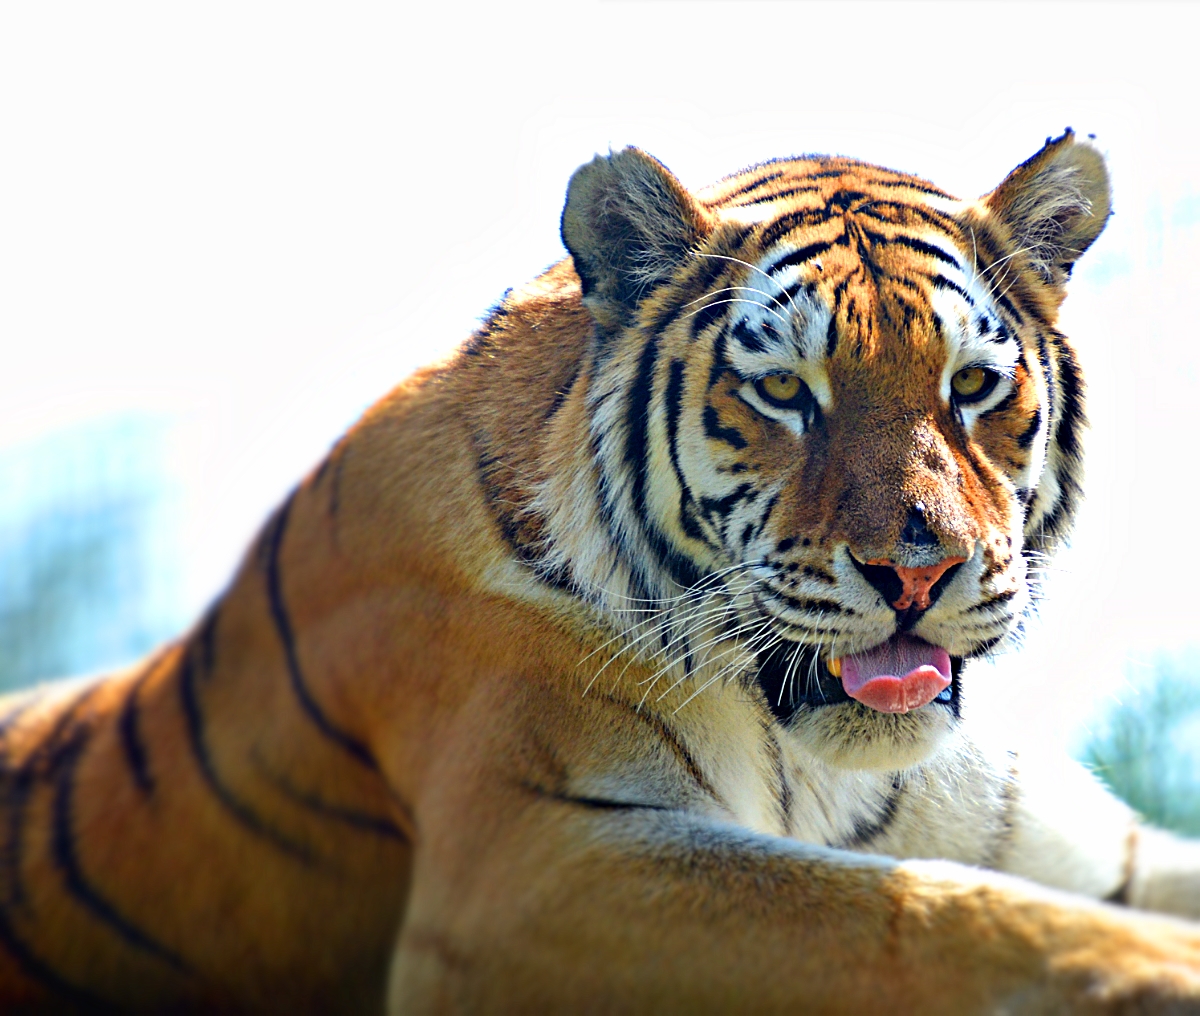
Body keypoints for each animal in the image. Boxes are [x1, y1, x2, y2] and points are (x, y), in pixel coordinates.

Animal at [1, 129, 1199, 1014]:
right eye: (785, 392)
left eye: (973, 384)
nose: (920, 571)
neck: (824, 766)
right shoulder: (537, 863)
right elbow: (925, 913)